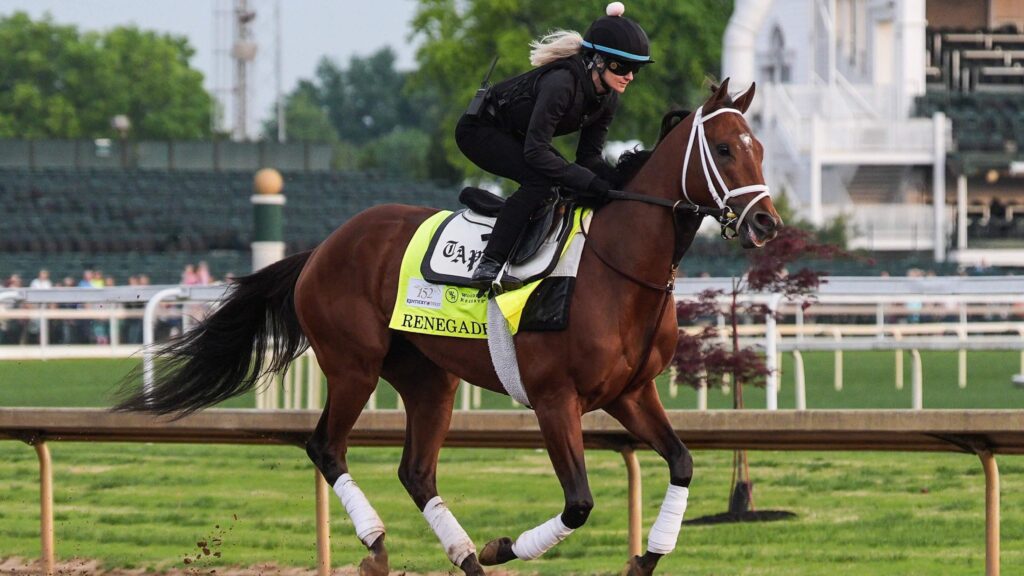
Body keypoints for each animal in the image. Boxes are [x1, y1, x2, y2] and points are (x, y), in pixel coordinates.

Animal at [116, 78, 781, 576]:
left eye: (760, 148)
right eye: (725, 149)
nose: (766, 224)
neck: (614, 267)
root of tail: (322, 248)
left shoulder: (630, 393)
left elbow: (682, 463)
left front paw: (646, 556)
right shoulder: (554, 400)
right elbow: (579, 504)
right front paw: (504, 545)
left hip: (429, 379)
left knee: (416, 471)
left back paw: (464, 557)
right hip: (353, 366)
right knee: (326, 446)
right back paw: (380, 546)